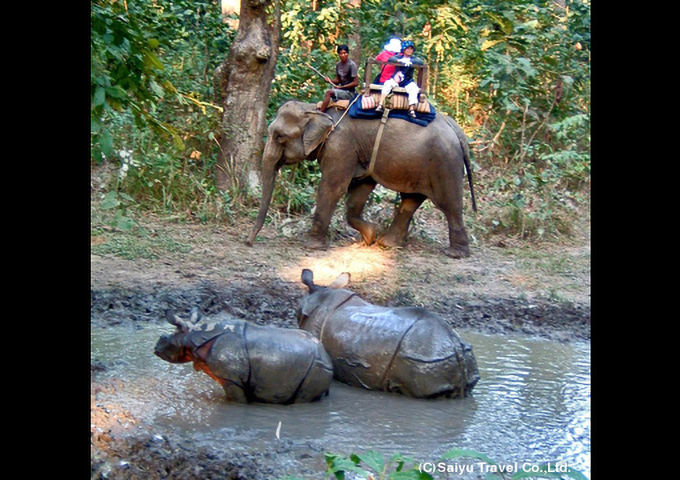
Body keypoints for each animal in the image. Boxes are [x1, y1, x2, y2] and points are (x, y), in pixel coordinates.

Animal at [155, 308, 334, 404]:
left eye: (165, 339)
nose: (155, 349)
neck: (194, 335)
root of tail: (327, 356)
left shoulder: (231, 379)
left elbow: (236, 400)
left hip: (316, 367)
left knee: (302, 398)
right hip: (315, 365)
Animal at [247, 100, 476, 258]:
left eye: (280, 136)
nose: (249, 242)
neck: (318, 109)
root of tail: (456, 129)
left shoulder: (340, 145)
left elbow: (332, 188)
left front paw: (312, 246)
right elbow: (360, 190)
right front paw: (369, 236)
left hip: (444, 163)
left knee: (450, 205)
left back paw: (456, 254)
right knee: (411, 200)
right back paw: (386, 243)